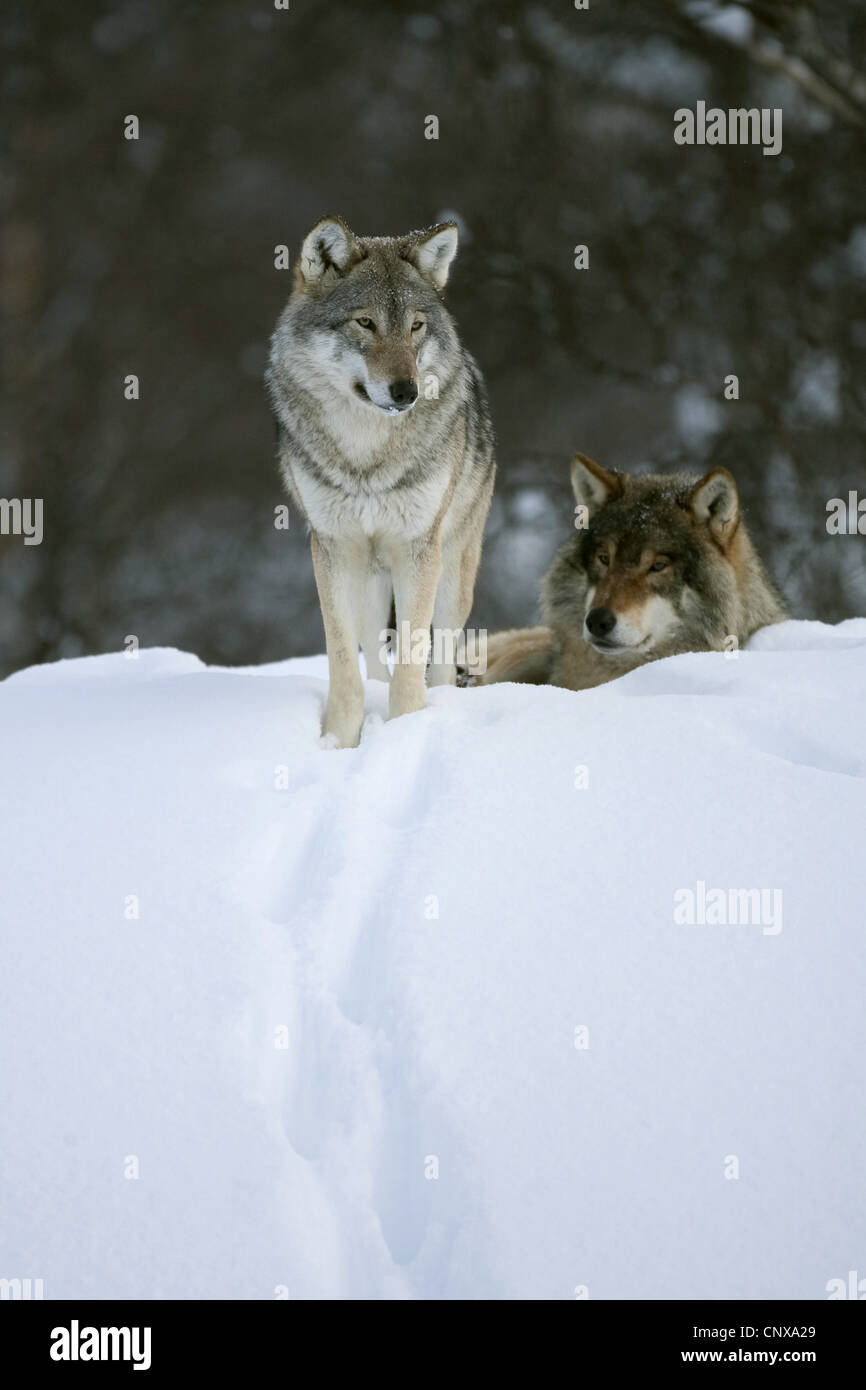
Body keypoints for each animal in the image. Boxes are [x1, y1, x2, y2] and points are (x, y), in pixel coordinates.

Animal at [265, 211, 494, 745]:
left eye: (415, 327)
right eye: (365, 322)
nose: (406, 391)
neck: (366, 455)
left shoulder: (417, 549)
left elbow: (413, 662)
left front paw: (407, 731)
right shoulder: (331, 547)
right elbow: (343, 658)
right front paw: (339, 741)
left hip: (452, 571)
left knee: (442, 657)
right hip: (369, 578)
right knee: (373, 655)